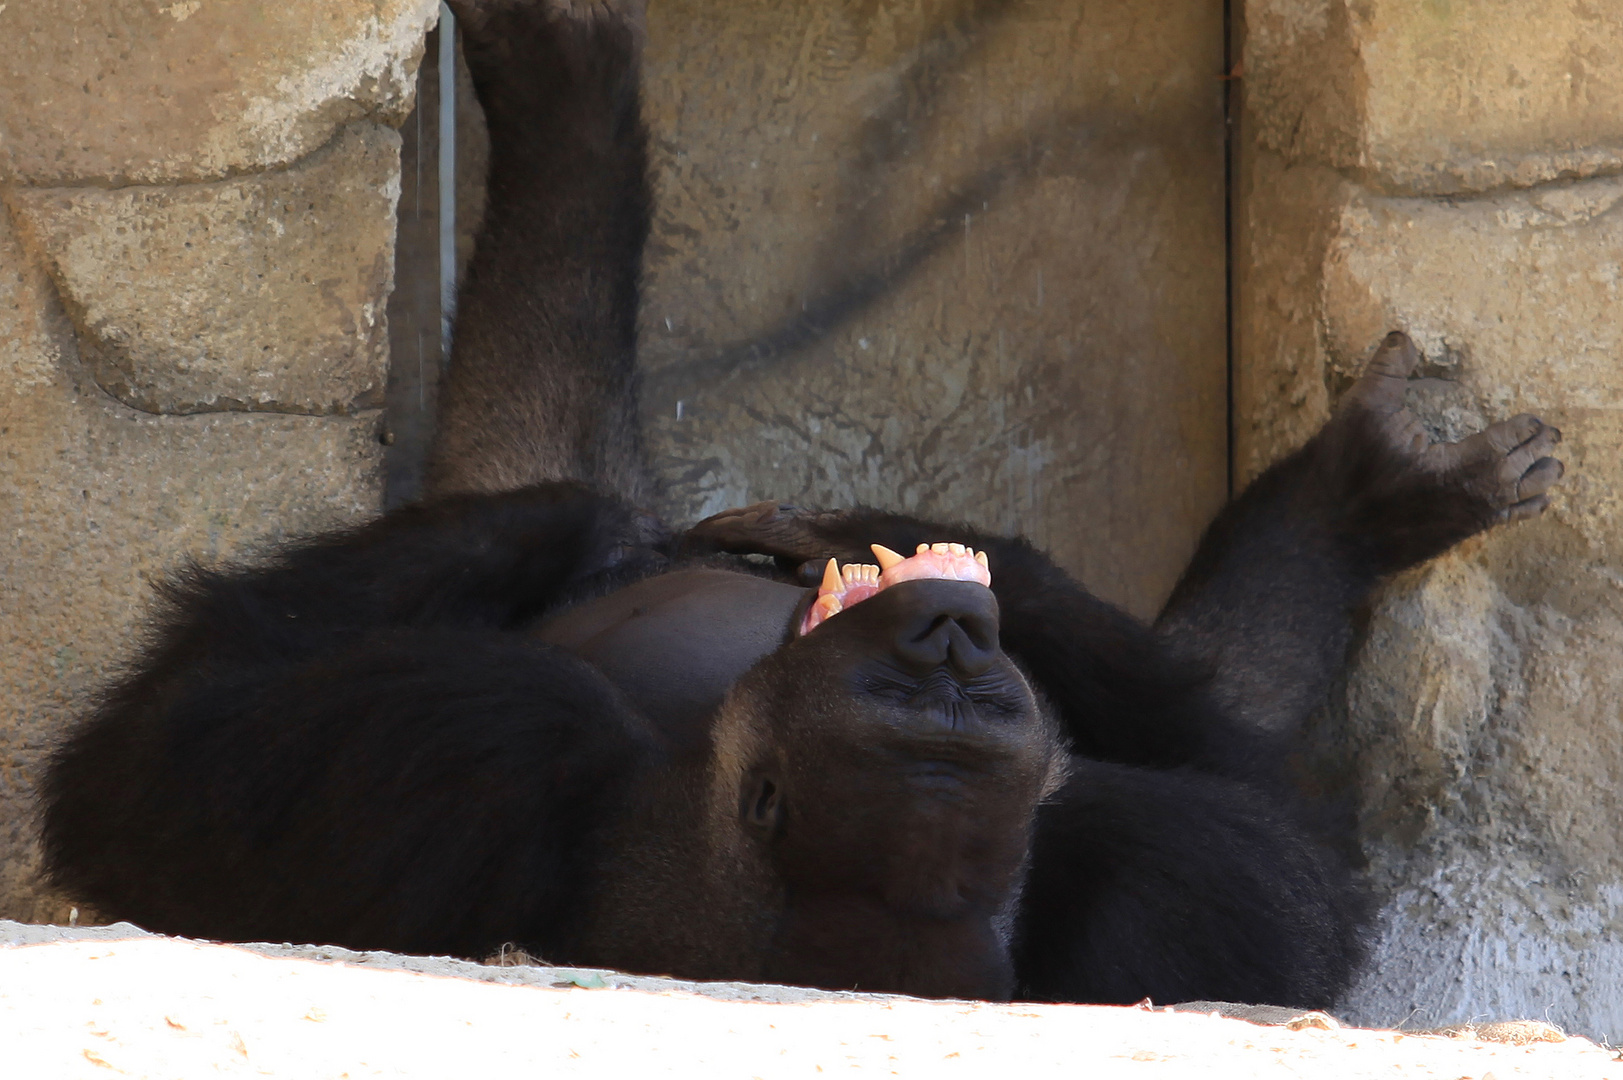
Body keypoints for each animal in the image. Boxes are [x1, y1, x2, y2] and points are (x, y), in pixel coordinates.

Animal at [34, 2, 1558, 1013]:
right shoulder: (1170, 894)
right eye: (944, 697)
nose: (951, 639)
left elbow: (147, 772)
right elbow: (1281, 841)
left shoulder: (471, 747)